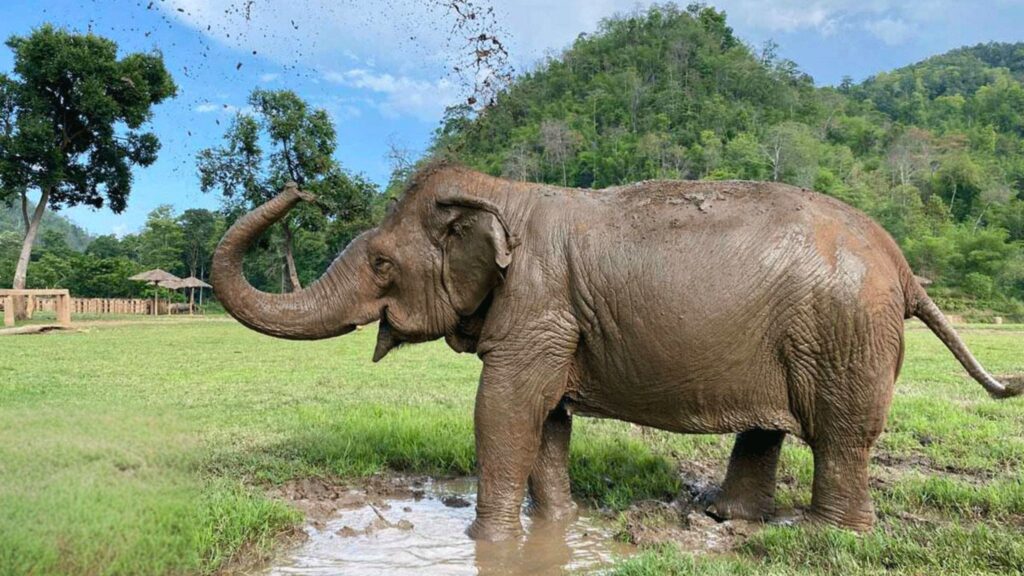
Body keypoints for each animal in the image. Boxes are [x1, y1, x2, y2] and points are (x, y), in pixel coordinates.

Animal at [212, 162, 1022, 541]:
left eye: (381, 264)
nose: (301, 188)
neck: (504, 193)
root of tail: (904, 266)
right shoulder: (554, 321)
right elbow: (546, 420)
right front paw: (555, 528)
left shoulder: (538, 308)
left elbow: (505, 408)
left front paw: (484, 536)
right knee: (769, 426)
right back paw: (722, 517)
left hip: (843, 333)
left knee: (843, 436)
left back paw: (823, 534)